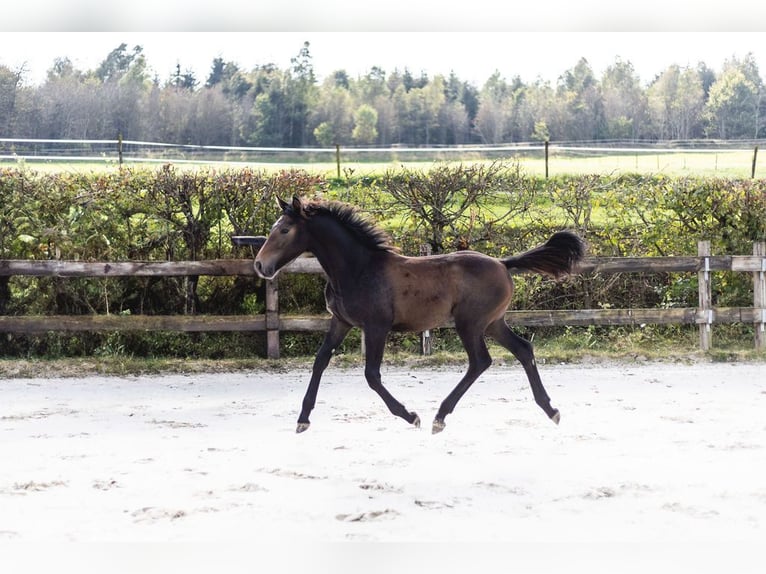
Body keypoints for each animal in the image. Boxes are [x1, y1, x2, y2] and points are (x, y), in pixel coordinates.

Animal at [255, 196, 584, 434]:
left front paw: (410, 415)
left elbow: (371, 375)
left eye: (284, 230)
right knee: (523, 349)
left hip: (470, 323)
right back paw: (551, 410)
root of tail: (504, 264)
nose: (260, 265)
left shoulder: (376, 326)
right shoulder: (342, 322)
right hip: (493, 323)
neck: (358, 269)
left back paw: (440, 416)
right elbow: (320, 361)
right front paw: (303, 418)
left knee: (480, 361)